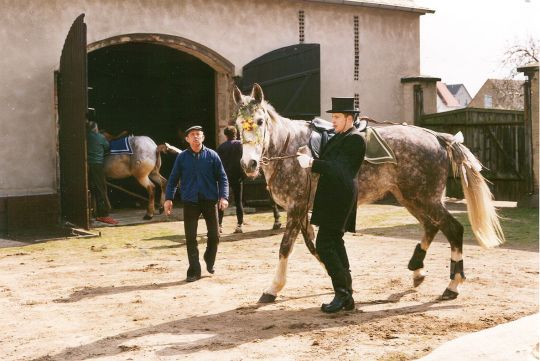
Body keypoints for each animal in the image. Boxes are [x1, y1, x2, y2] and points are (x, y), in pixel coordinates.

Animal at [234, 84, 504, 304]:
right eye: (238, 125)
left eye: (260, 121)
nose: (249, 164)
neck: (288, 148)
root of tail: (437, 137)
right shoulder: (301, 211)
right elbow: (313, 247)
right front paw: (340, 281)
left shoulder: (296, 207)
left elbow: (285, 247)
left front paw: (272, 289)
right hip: (410, 197)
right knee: (431, 226)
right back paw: (418, 270)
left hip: (425, 198)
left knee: (453, 229)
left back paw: (453, 285)